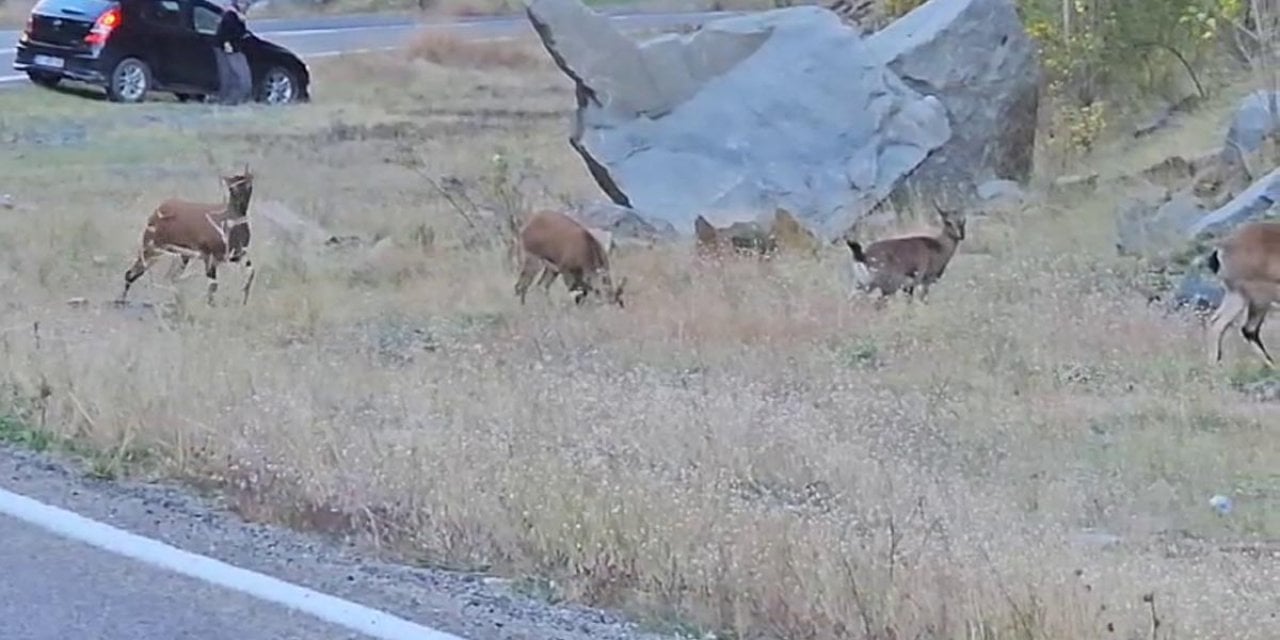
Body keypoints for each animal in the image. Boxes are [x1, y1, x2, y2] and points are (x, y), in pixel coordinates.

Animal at [119, 165, 257, 304]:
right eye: (231, 188)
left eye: (248, 185)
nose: (239, 205)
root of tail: (158, 211)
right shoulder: (209, 257)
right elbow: (213, 285)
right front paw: (210, 305)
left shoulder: (237, 255)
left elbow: (250, 273)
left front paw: (244, 302)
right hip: (152, 248)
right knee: (131, 273)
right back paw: (122, 301)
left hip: (181, 255)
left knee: (171, 277)